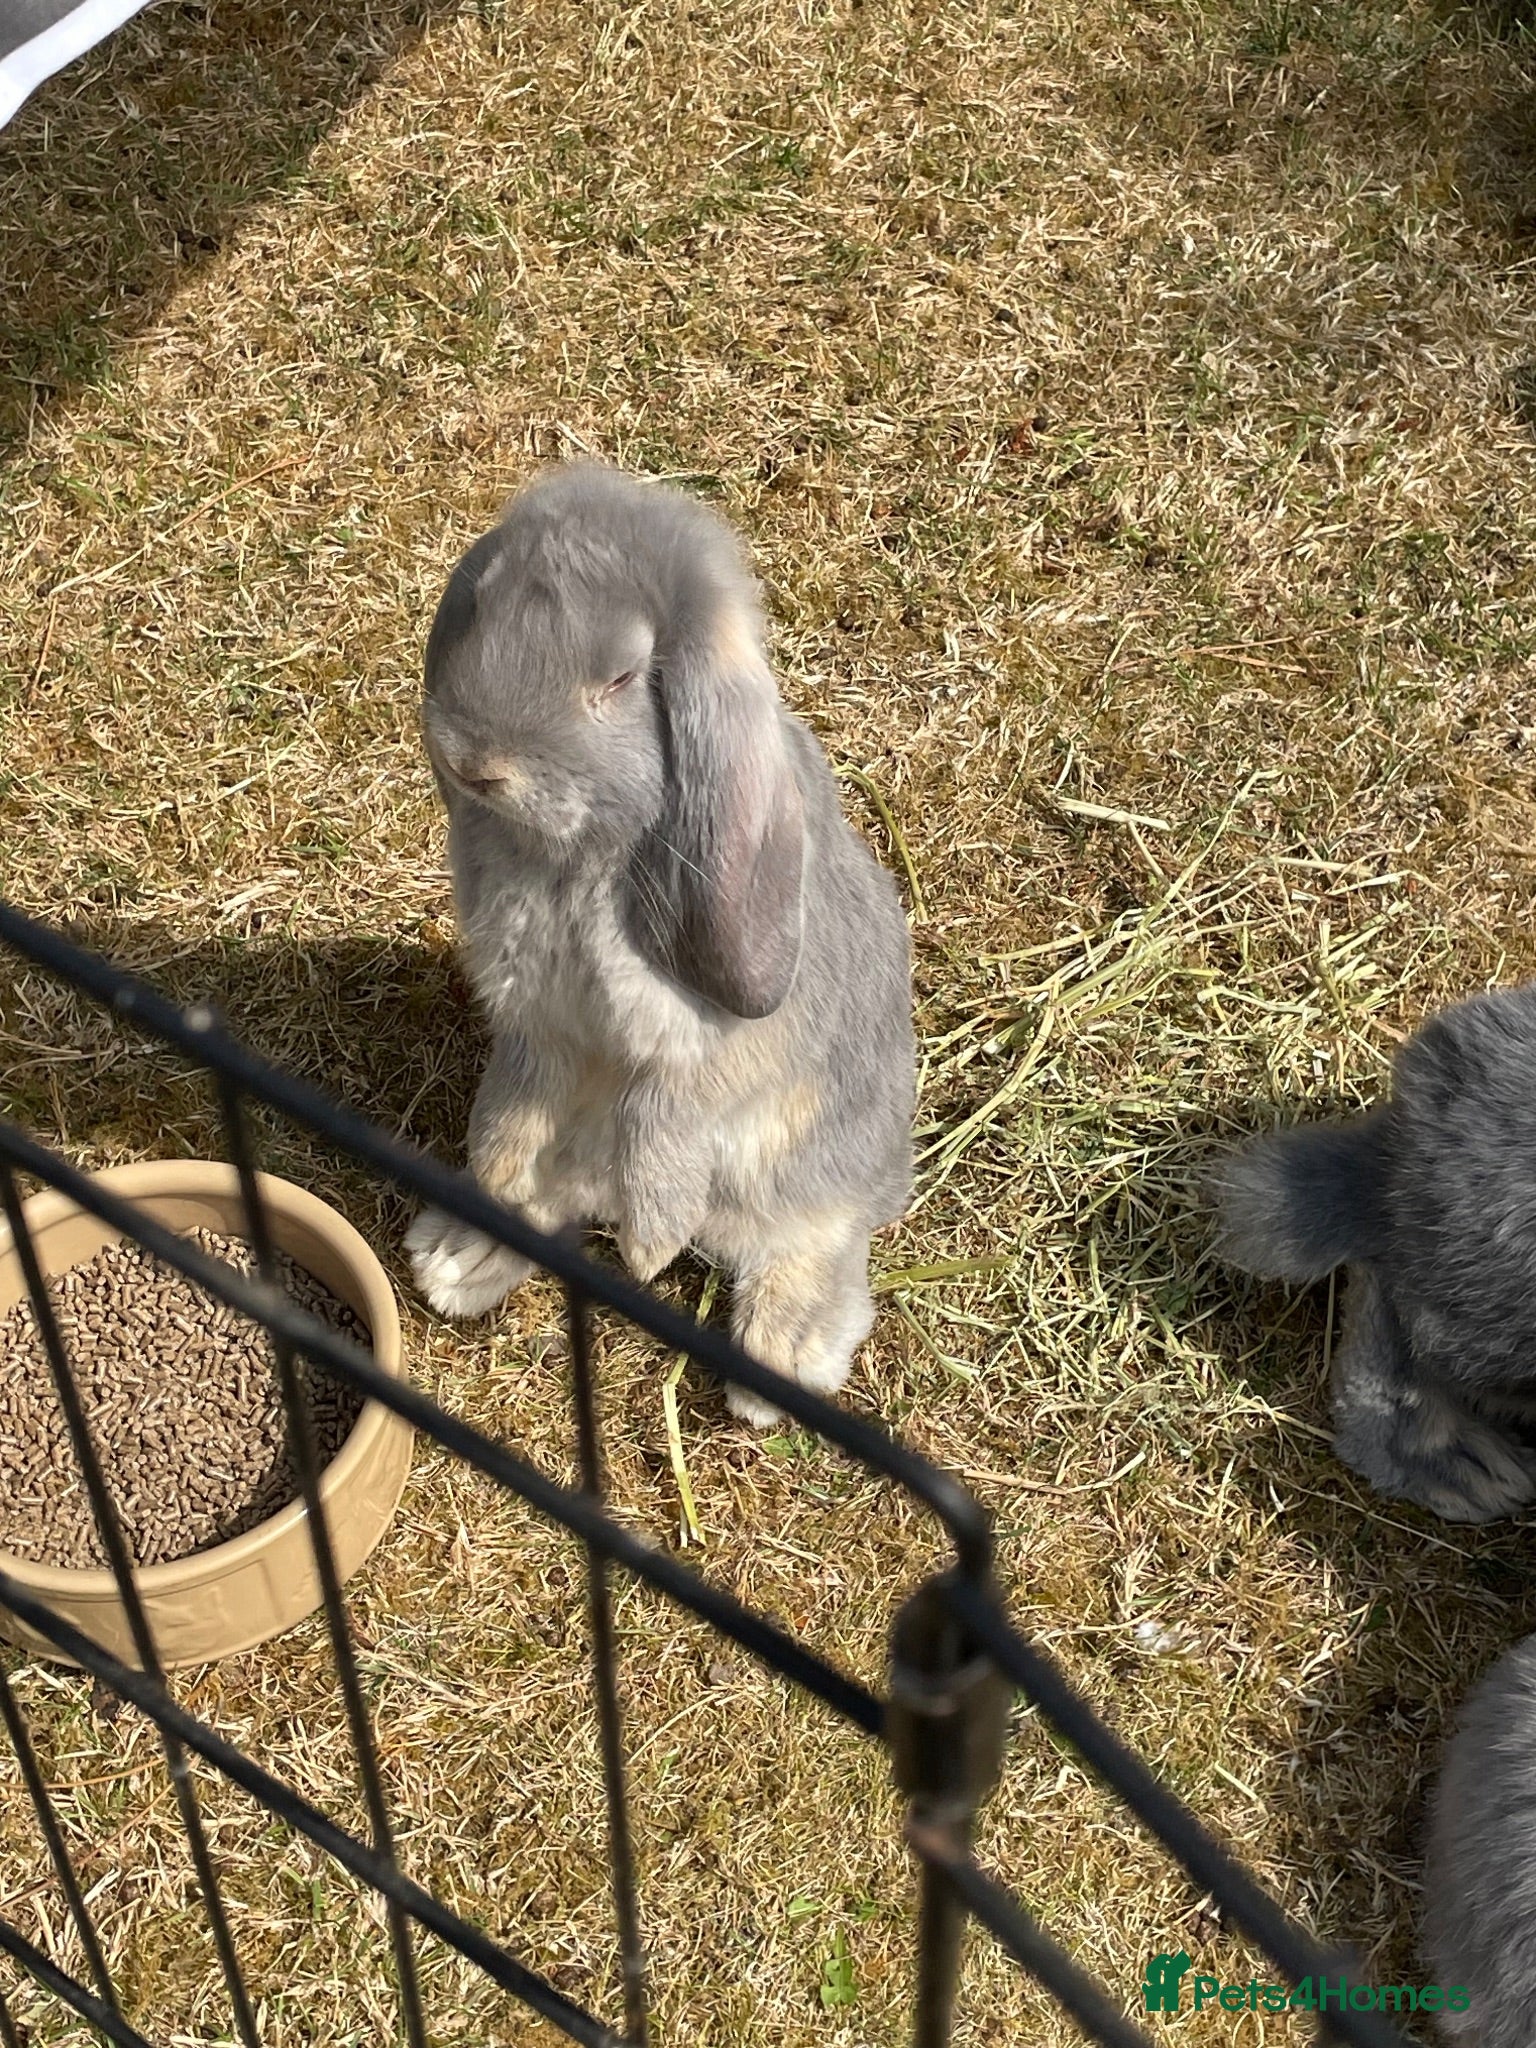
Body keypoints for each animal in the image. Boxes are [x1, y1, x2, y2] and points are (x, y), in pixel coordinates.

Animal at [404, 463, 916, 1425]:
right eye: (478, 610)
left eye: (620, 677)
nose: (474, 764)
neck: (576, 857)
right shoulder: (538, 1027)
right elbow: (512, 1110)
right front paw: (494, 1177)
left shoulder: (692, 1059)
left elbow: (661, 1125)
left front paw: (651, 1246)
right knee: (557, 1201)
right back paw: (455, 1257)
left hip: (805, 1164)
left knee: (817, 1240)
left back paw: (780, 1364)